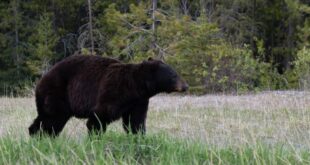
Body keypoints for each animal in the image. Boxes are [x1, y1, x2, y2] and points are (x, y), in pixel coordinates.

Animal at [29, 54, 189, 136]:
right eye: (174, 75)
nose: (186, 86)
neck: (136, 86)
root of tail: (41, 80)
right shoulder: (113, 91)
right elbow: (100, 116)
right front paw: (95, 137)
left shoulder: (138, 101)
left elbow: (135, 121)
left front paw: (139, 137)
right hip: (57, 93)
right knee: (52, 119)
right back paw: (44, 137)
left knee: (45, 119)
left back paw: (36, 136)